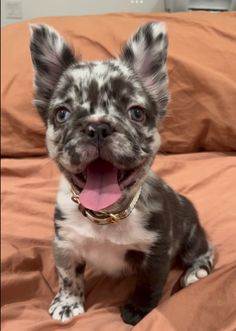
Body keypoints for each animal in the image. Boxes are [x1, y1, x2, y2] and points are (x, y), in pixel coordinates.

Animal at [29, 23, 214, 326]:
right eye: (62, 114)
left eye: (137, 113)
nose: (98, 126)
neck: (106, 215)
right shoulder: (65, 245)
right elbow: (68, 277)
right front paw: (67, 303)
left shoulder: (156, 252)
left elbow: (149, 284)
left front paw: (138, 310)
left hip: (192, 234)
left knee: (204, 250)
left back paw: (196, 270)